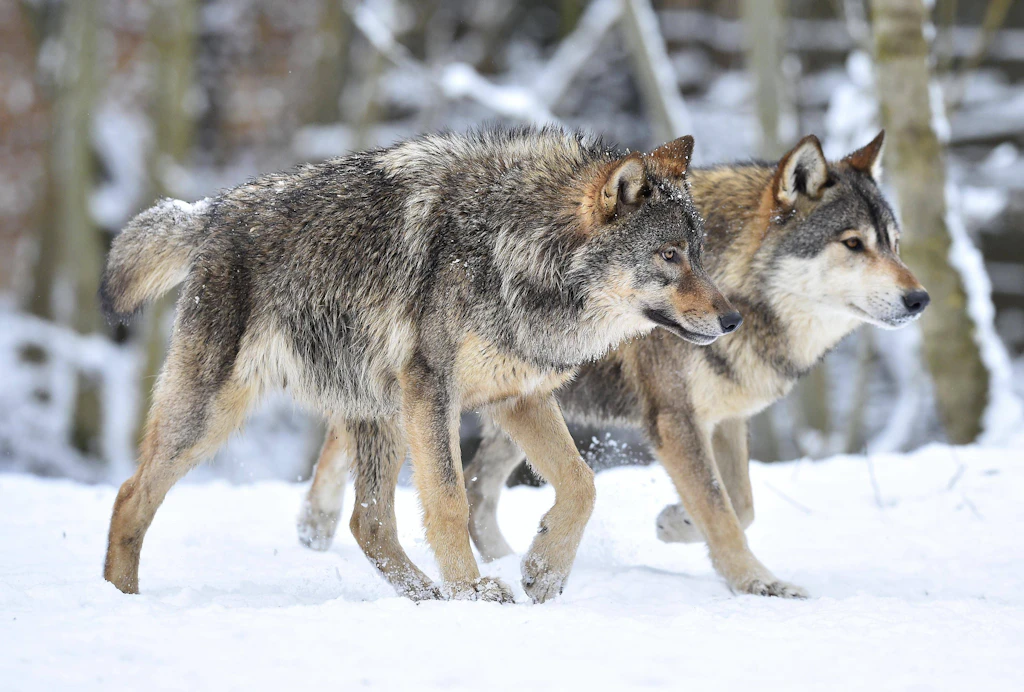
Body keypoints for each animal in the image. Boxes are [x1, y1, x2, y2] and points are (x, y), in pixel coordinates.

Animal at [101, 126, 739, 603]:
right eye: (669, 256)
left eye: (700, 255)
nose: (732, 319)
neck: (513, 247)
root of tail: (208, 210)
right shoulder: (435, 391)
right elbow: (452, 502)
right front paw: (473, 592)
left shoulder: (517, 395)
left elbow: (582, 484)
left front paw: (543, 571)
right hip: (214, 415)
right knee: (130, 495)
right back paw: (120, 598)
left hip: (378, 414)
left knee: (369, 523)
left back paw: (425, 597)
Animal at [301, 132, 929, 599]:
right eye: (853, 244)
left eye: (895, 244)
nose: (919, 298)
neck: (740, 289)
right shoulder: (674, 420)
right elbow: (722, 509)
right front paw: (757, 582)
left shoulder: (725, 418)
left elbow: (742, 503)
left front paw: (675, 523)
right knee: (362, 444)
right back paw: (320, 524)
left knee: (476, 488)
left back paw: (510, 557)